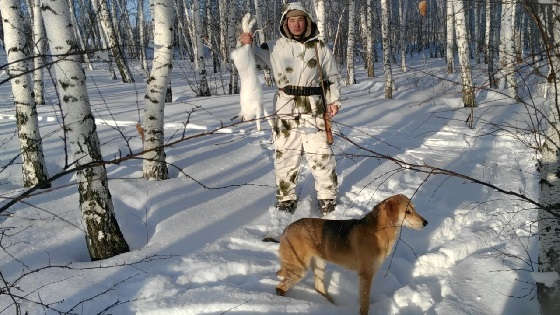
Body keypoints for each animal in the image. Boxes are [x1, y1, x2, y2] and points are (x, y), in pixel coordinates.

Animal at [276, 194, 428, 314]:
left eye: (414, 209)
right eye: (407, 211)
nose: (426, 222)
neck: (380, 230)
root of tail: (286, 230)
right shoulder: (366, 274)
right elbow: (365, 304)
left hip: (319, 264)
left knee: (319, 288)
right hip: (299, 268)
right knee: (280, 288)